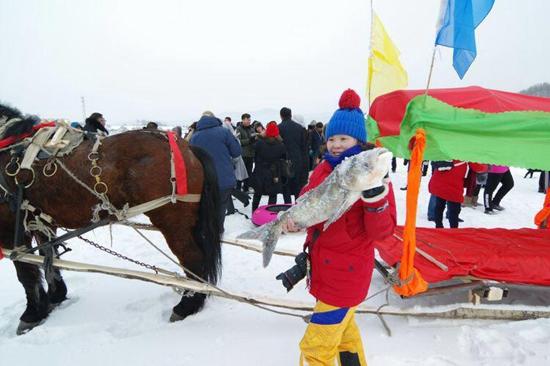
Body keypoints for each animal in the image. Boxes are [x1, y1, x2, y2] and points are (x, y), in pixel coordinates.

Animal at [0, 103, 222, 334]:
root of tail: (188, 148)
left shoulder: (9, 225)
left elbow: (25, 270)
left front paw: (32, 313)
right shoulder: (40, 221)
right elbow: (49, 258)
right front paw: (55, 296)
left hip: (171, 220)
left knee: (192, 259)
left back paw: (187, 305)